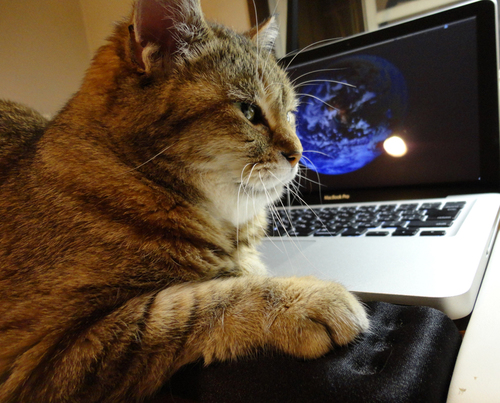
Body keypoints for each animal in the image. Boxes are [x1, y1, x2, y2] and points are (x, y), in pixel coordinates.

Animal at [0, 0, 368, 403]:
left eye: (290, 114)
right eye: (249, 111)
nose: (300, 154)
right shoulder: (41, 357)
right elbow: (191, 303)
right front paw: (305, 298)